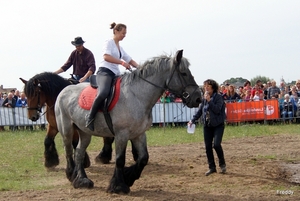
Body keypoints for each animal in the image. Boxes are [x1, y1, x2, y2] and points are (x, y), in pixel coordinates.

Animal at [55, 49, 203, 194]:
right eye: (184, 73)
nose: (198, 98)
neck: (136, 96)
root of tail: (64, 90)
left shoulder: (139, 134)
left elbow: (143, 158)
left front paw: (128, 177)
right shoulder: (122, 134)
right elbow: (120, 160)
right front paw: (118, 186)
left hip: (85, 132)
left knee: (79, 152)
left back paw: (82, 180)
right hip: (66, 130)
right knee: (68, 150)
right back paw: (71, 174)